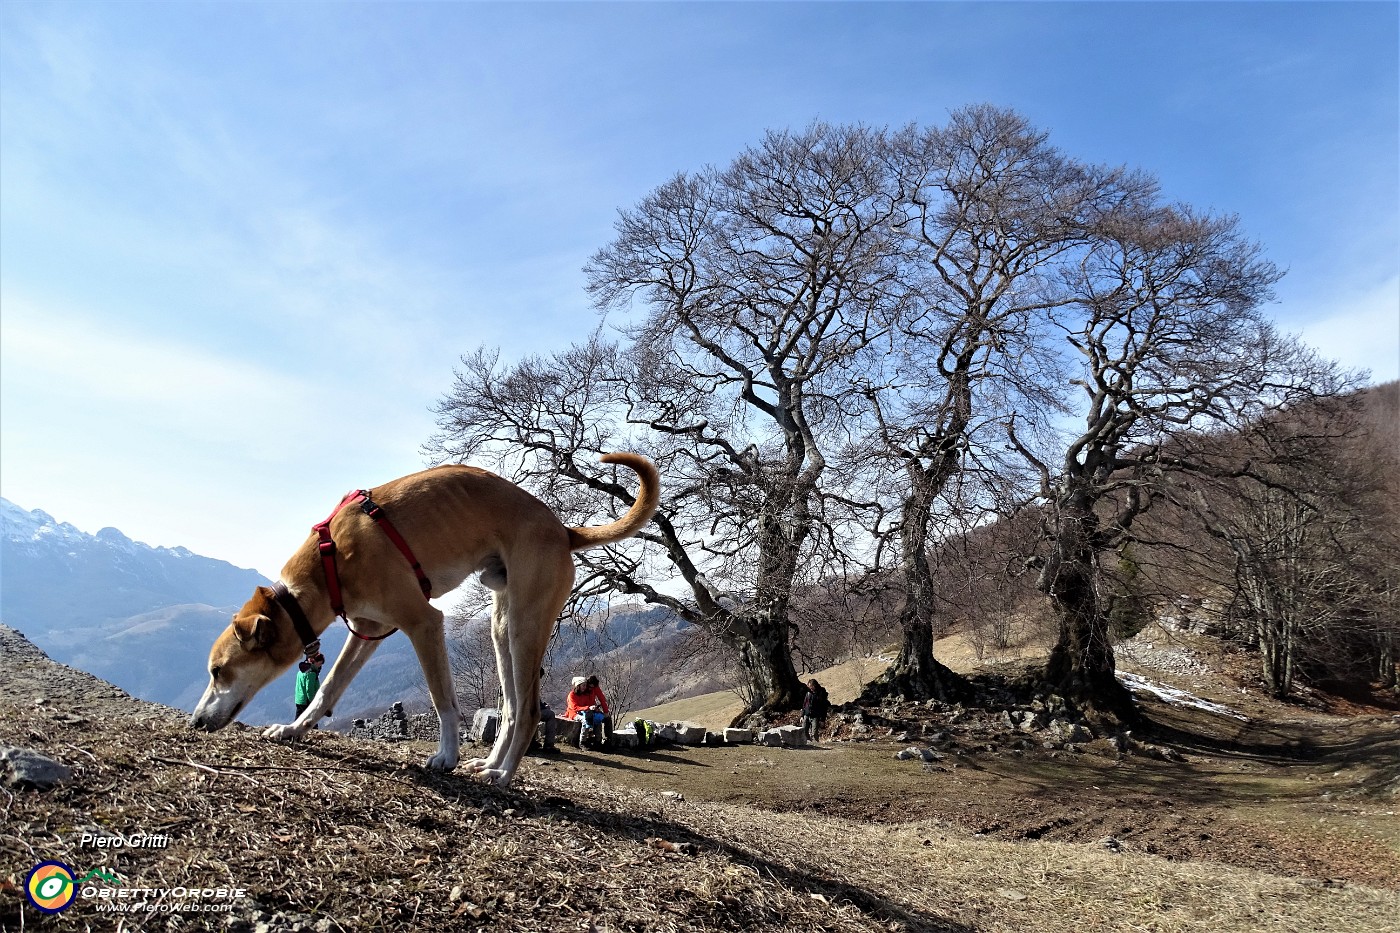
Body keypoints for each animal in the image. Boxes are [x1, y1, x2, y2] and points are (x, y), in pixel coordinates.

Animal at [187, 451, 660, 784]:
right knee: (510, 707)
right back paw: (488, 763)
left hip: (527, 625)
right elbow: (329, 688)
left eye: (218, 671)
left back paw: (502, 775)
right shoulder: (368, 632)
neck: (331, 560)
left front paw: (446, 756)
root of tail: (563, 530)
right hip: (501, 628)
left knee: (526, 711)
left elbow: (442, 699)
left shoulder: (424, 622)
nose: (194, 722)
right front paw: (293, 730)